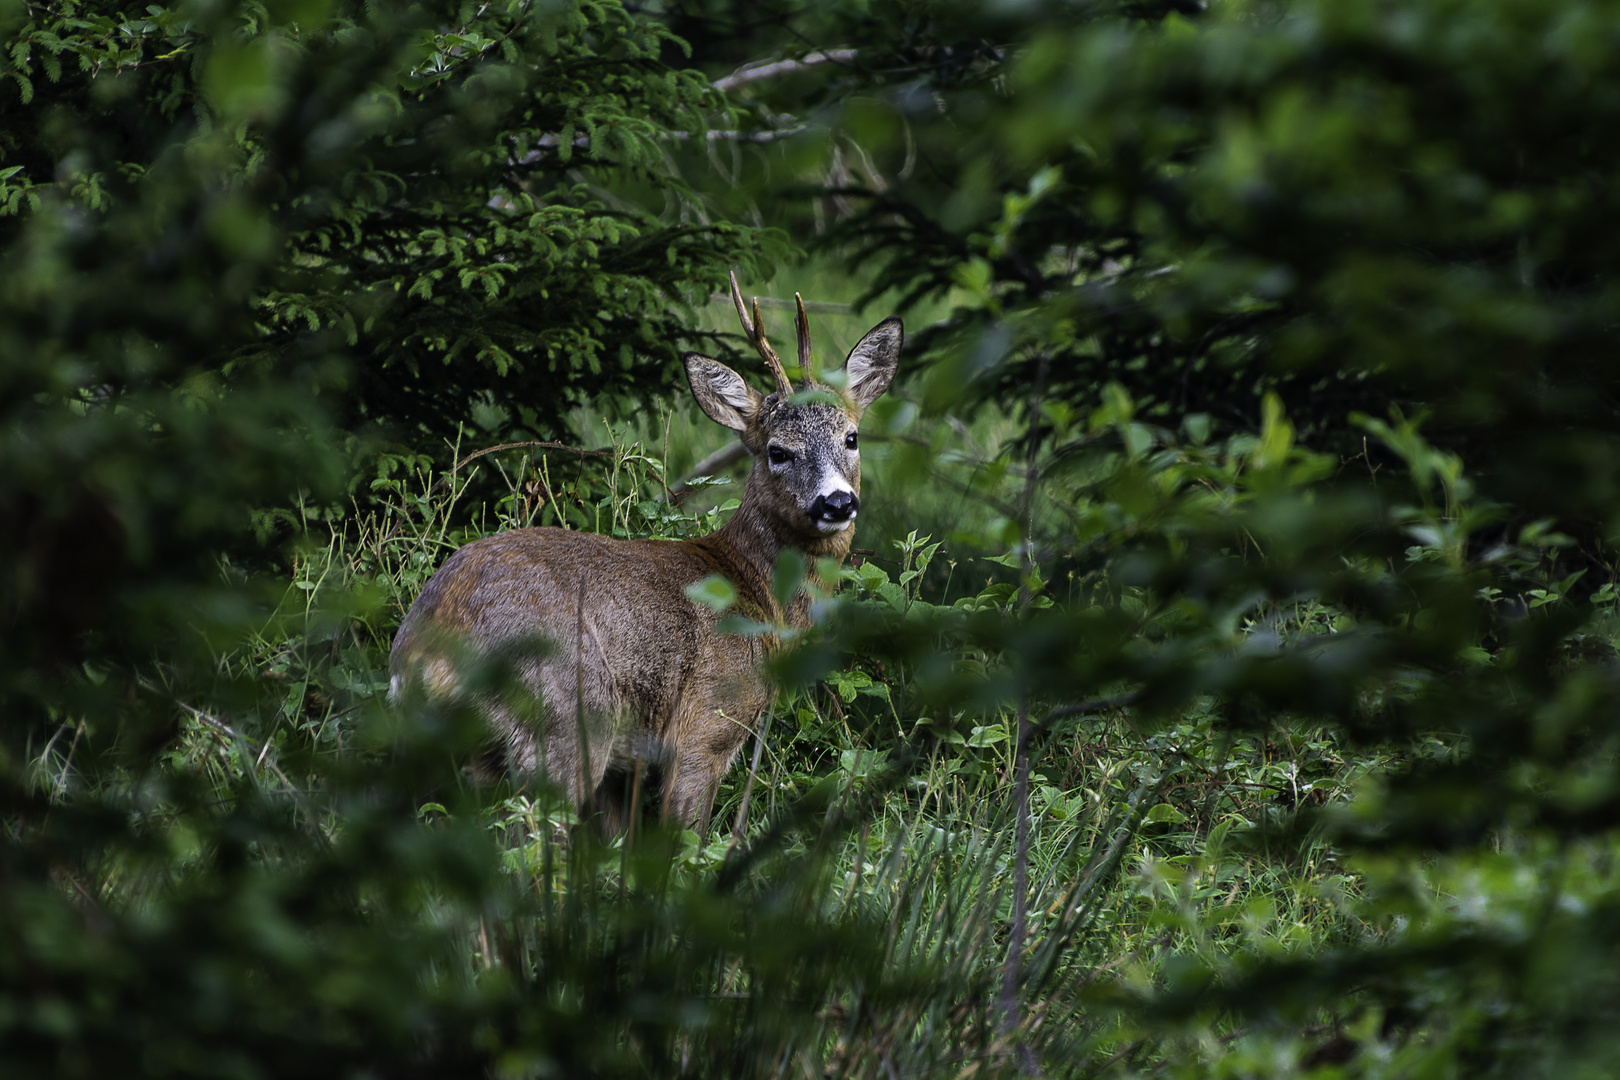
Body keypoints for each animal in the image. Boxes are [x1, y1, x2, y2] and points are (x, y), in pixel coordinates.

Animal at [387, 275, 907, 835]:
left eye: (851, 437)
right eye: (778, 451)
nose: (837, 502)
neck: (754, 591)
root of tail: (428, 645)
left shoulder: (626, 769)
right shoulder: (706, 724)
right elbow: (683, 836)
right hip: (566, 719)